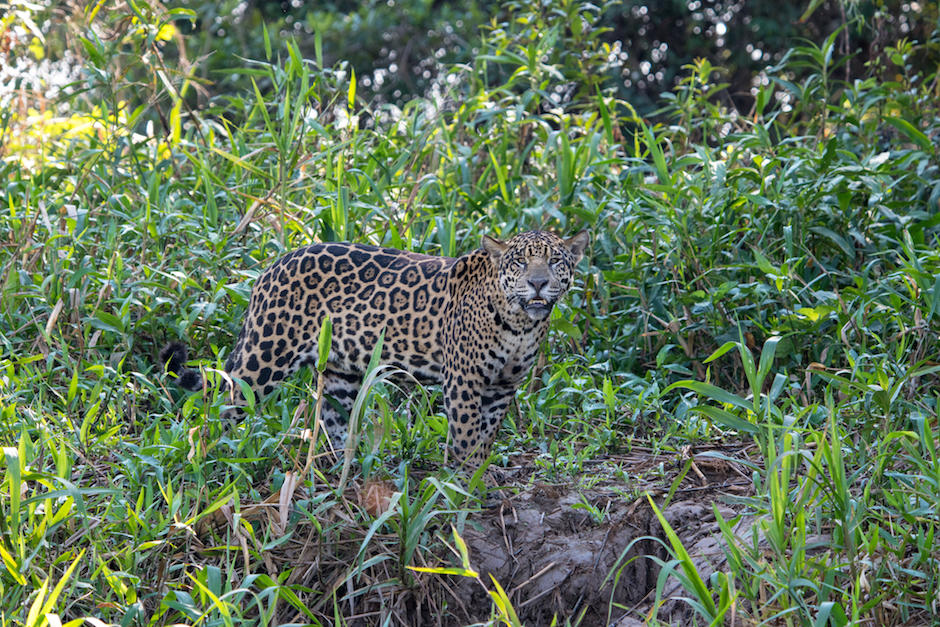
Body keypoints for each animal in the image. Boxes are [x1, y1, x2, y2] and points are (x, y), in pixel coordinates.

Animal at [161, 229, 589, 466]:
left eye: (555, 261)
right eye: (519, 263)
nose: (537, 283)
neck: (520, 323)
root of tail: (273, 265)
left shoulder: (503, 386)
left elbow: (484, 439)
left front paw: (478, 478)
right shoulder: (463, 381)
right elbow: (466, 437)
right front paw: (462, 485)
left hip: (341, 372)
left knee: (333, 421)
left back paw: (341, 472)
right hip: (264, 357)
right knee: (215, 408)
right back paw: (202, 460)